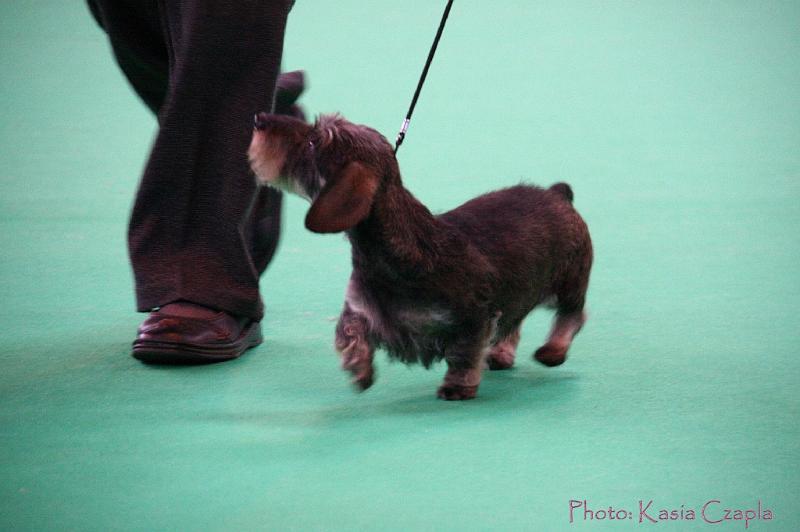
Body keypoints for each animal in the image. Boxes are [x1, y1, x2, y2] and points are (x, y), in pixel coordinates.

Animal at [250, 114, 592, 402]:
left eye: (313, 141)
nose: (260, 118)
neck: (398, 253)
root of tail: (556, 194)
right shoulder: (362, 309)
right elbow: (348, 331)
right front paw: (358, 367)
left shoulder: (473, 317)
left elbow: (464, 354)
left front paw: (457, 386)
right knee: (514, 322)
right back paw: (501, 354)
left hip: (570, 281)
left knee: (572, 316)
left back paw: (553, 350)